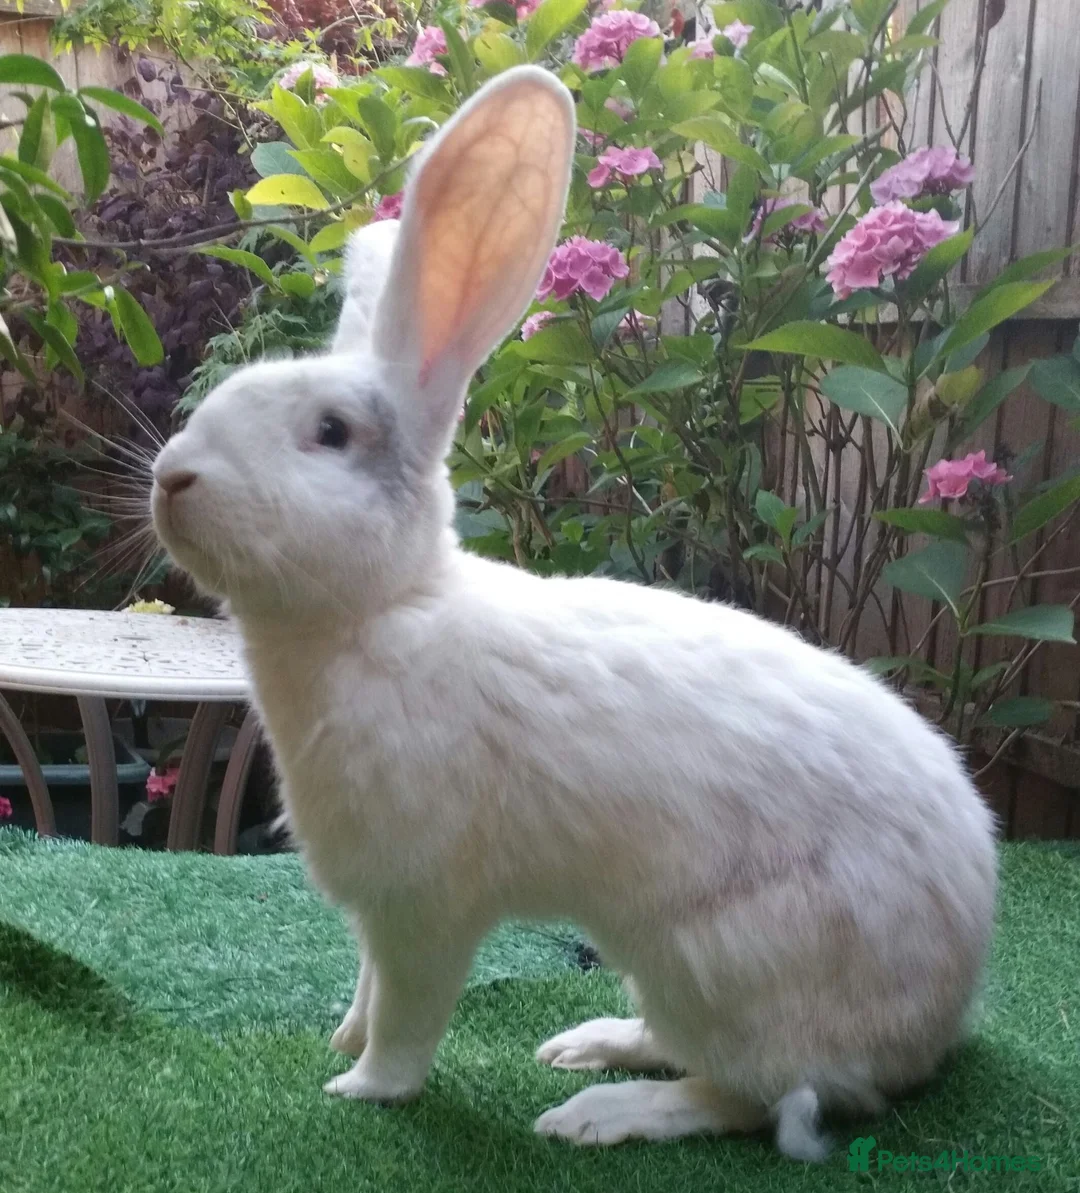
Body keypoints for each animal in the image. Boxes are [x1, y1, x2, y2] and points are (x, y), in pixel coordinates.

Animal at [150, 65, 997, 1161]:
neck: (382, 609)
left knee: (757, 1094)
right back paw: (589, 1043)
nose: (171, 477)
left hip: (720, 960)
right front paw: (339, 1036)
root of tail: (940, 1018)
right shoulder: (377, 904)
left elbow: (408, 1009)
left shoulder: (424, 903)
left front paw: (364, 1085)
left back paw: (599, 1110)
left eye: (330, 432)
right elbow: (366, 984)